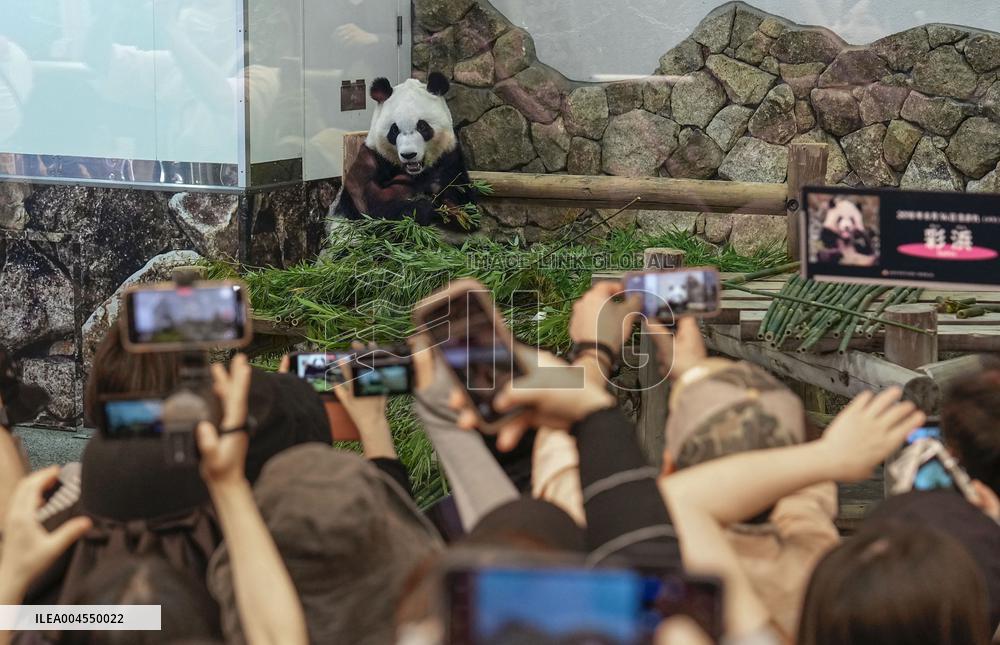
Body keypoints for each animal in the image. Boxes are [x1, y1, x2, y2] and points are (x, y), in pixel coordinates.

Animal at [335, 72, 477, 228]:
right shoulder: (370, 159)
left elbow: (464, 200)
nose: (409, 155)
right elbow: (370, 203)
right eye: (394, 130)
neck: (415, 172)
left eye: (422, 126)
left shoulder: (448, 157)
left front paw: (453, 212)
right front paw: (423, 208)